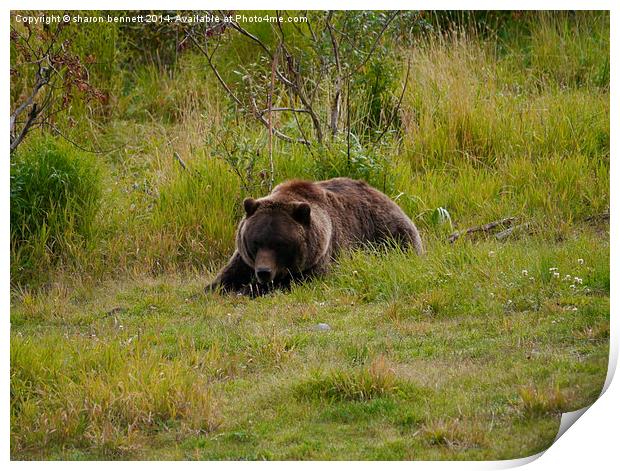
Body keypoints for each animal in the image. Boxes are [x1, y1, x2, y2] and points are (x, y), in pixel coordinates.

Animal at [206, 177, 424, 296]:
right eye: (255, 242)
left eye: (280, 244)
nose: (263, 272)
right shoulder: (244, 258)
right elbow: (226, 276)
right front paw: (213, 289)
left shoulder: (320, 256)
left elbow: (295, 282)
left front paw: (248, 290)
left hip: (388, 233)